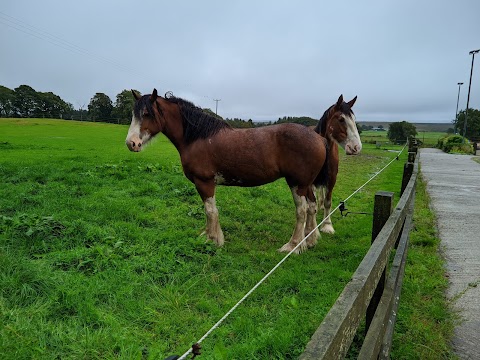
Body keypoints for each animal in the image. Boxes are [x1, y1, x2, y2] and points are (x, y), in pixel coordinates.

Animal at [127, 89, 360, 253]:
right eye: (134, 114)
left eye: (147, 113)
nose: (132, 143)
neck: (198, 137)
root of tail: (318, 137)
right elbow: (210, 211)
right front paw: (207, 235)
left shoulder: (204, 183)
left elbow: (211, 211)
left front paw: (213, 240)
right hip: (305, 183)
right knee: (312, 207)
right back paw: (310, 241)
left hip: (296, 183)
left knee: (302, 211)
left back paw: (293, 246)